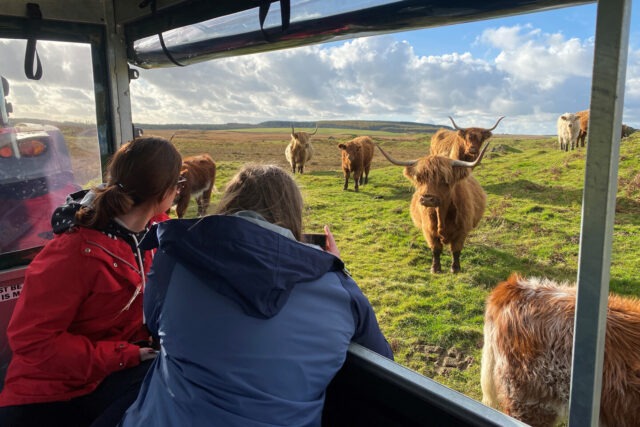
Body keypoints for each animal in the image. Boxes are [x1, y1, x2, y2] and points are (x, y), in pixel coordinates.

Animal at [376, 142, 489, 273]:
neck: (441, 214)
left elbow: (456, 250)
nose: (427, 199)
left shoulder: (462, 231)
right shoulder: (429, 231)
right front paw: (435, 269)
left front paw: (455, 269)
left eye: (444, 179)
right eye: (419, 178)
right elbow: (436, 250)